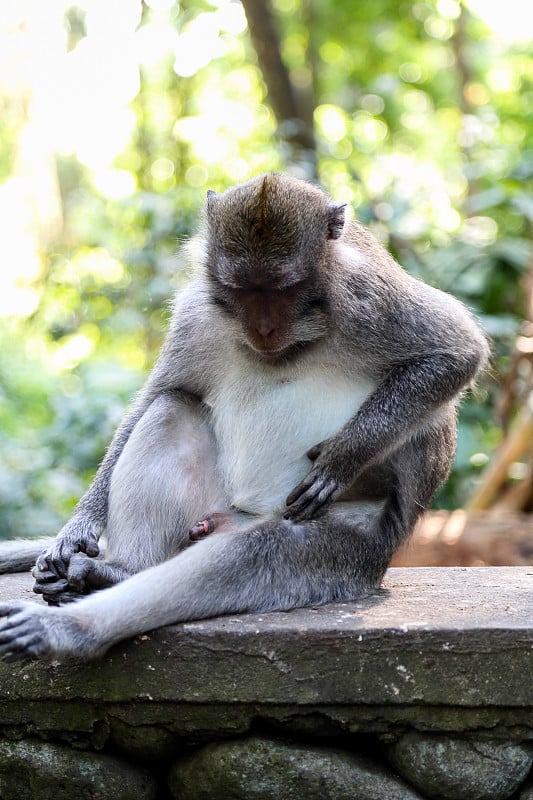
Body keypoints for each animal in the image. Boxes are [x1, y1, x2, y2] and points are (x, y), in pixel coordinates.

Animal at [0, 173, 486, 664]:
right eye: (243, 289)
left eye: (283, 289)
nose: (263, 329)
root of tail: (235, 517)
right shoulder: (196, 315)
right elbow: (157, 396)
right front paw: (77, 528)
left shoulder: (368, 297)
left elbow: (456, 352)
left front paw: (341, 459)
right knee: (170, 408)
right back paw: (119, 571)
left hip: (349, 547)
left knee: (256, 554)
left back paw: (69, 627)